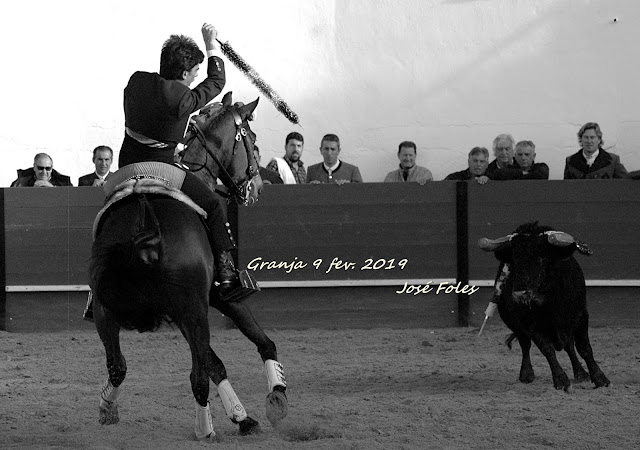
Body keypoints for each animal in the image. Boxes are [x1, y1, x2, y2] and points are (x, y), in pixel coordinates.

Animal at [89, 93, 287, 441]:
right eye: (251, 139)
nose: (257, 187)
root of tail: (146, 231)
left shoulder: (183, 312)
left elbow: (215, 363)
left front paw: (242, 416)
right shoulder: (218, 297)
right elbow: (263, 342)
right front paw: (276, 396)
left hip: (107, 310)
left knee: (118, 366)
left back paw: (107, 408)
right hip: (194, 311)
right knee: (197, 376)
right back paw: (205, 430)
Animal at [479, 222, 610, 391]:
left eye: (542, 257)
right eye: (515, 259)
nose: (520, 294)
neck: (549, 300)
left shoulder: (580, 315)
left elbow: (584, 347)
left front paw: (599, 378)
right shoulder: (530, 324)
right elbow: (547, 349)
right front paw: (561, 380)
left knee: (569, 345)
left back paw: (581, 373)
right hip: (516, 324)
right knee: (526, 345)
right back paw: (526, 374)